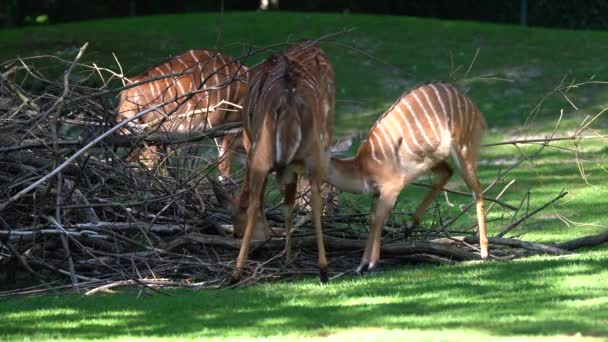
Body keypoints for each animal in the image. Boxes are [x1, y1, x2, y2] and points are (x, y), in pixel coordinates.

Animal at [224, 42, 334, 284]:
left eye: (234, 216)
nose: (235, 233)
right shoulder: (292, 166)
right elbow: (288, 204)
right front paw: (288, 258)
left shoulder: (251, 148)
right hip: (316, 151)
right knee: (315, 197)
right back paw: (323, 269)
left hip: (261, 154)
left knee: (255, 201)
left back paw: (235, 272)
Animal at [326, 83, 486, 272]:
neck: (362, 168)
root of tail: (476, 112)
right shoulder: (377, 193)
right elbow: (372, 219)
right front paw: (361, 265)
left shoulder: (392, 187)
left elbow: (378, 219)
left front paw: (371, 264)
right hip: (432, 158)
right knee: (447, 172)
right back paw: (409, 224)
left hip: (464, 149)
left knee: (477, 190)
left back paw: (484, 252)